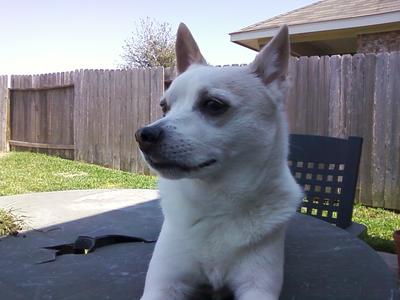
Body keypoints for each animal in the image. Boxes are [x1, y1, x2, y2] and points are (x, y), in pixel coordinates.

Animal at [136, 22, 302, 300]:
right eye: (164, 107)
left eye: (213, 105)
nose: (143, 135)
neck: (214, 201)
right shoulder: (162, 286)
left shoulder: (258, 288)